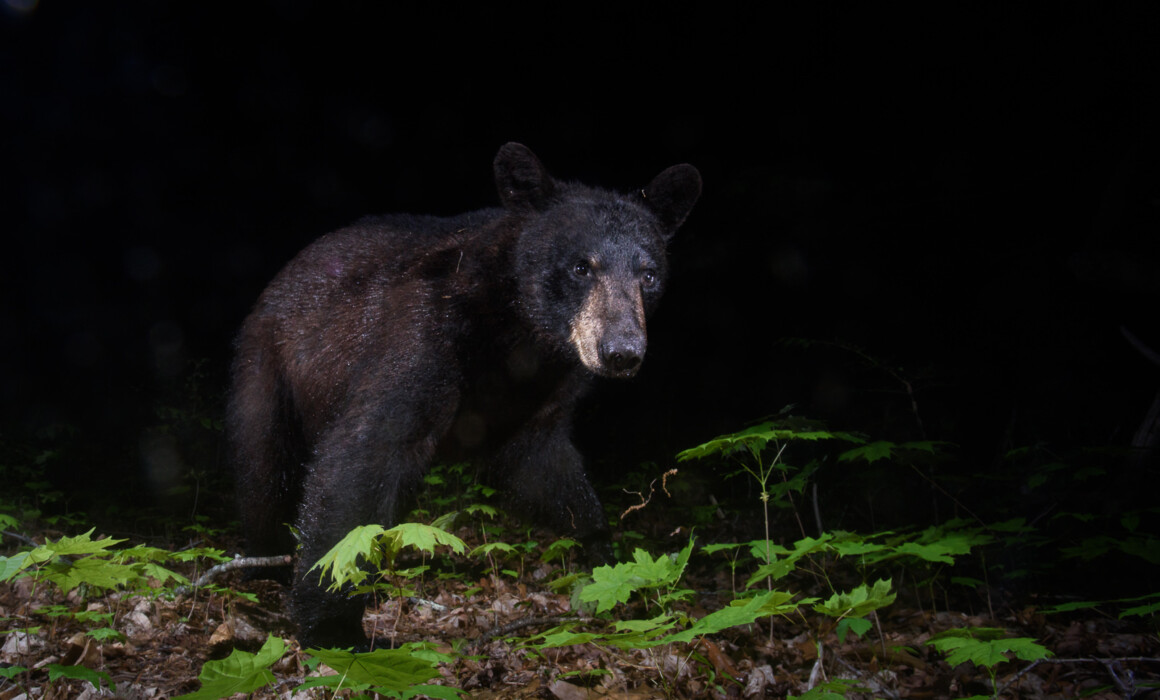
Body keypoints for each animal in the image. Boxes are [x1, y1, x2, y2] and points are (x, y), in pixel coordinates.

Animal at [227, 142, 701, 649]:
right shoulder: (422, 335)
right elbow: (363, 456)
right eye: (581, 266)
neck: (517, 334)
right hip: (268, 365)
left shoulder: (545, 393)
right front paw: (332, 626)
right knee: (264, 469)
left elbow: (544, 467)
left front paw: (610, 562)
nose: (621, 352)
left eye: (648, 274)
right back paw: (264, 566)